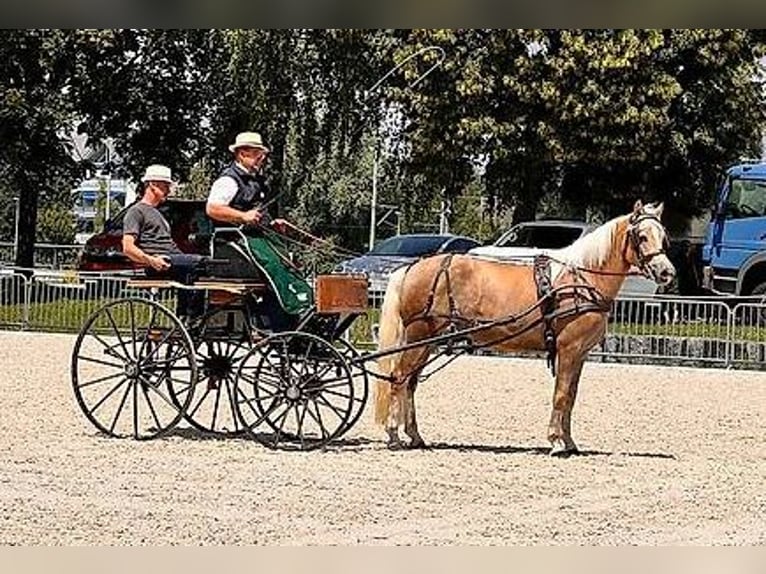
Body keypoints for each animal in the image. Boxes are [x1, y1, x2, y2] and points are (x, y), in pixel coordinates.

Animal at [376, 200, 676, 456]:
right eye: (641, 236)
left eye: (663, 236)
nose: (667, 272)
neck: (581, 279)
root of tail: (413, 267)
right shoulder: (568, 350)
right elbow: (561, 395)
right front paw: (556, 442)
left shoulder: (579, 355)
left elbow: (571, 397)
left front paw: (569, 441)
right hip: (419, 336)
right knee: (399, 378)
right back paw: (393, 435)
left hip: (427, 341)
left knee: (411, 384)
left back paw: (415, 436)